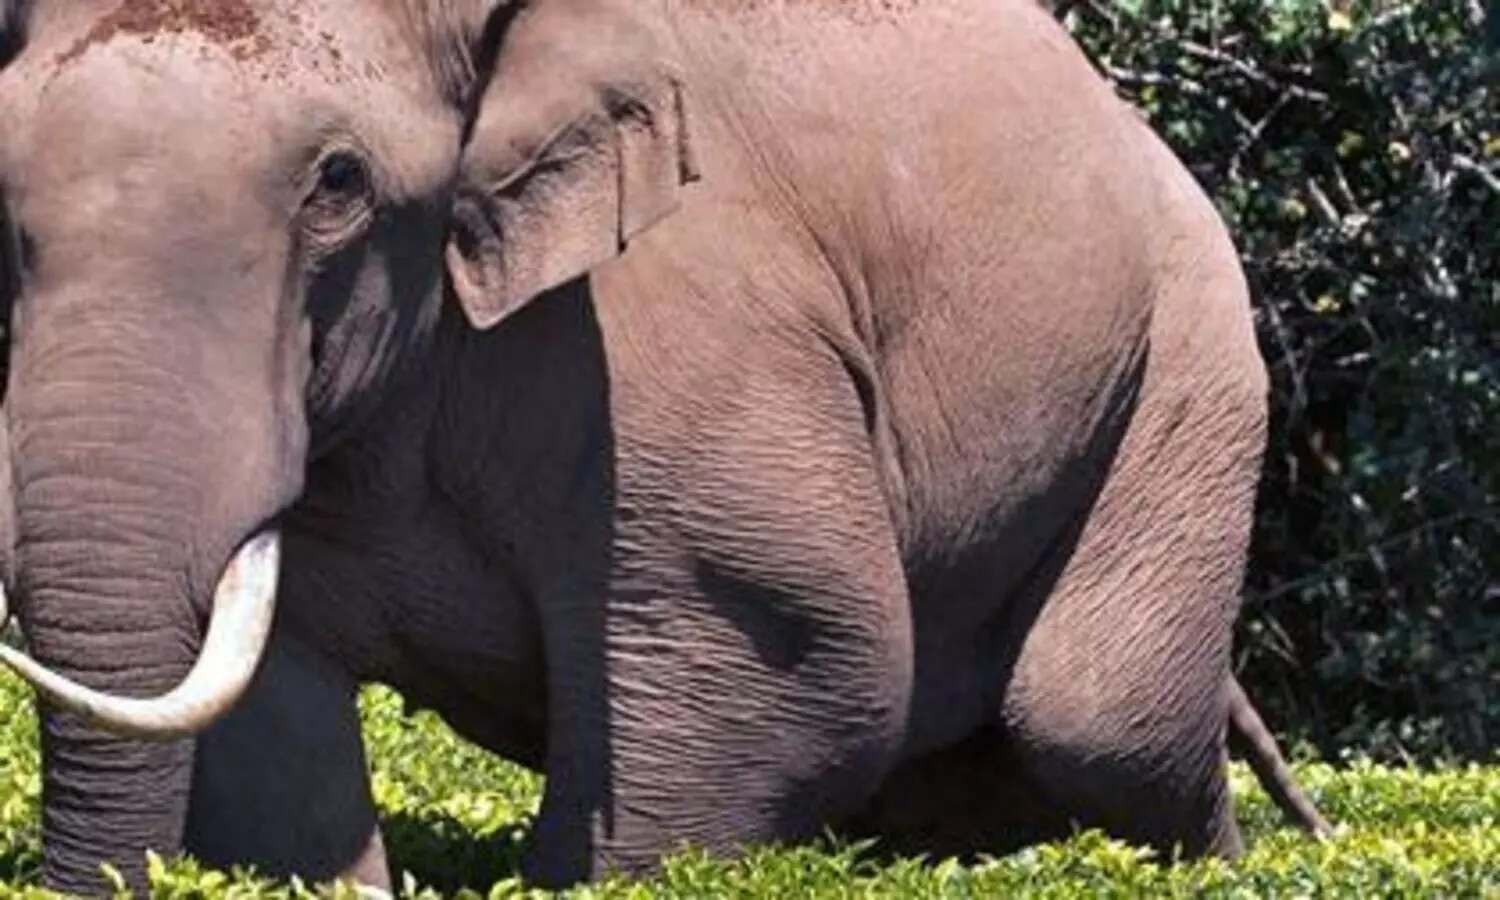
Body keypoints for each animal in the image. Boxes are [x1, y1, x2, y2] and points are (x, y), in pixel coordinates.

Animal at [0, 0, 1333, 895]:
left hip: (1194, 354)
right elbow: (272, 734)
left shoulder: (681, 328)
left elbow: (792, 657)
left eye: (339, 183)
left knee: (1093, 717)